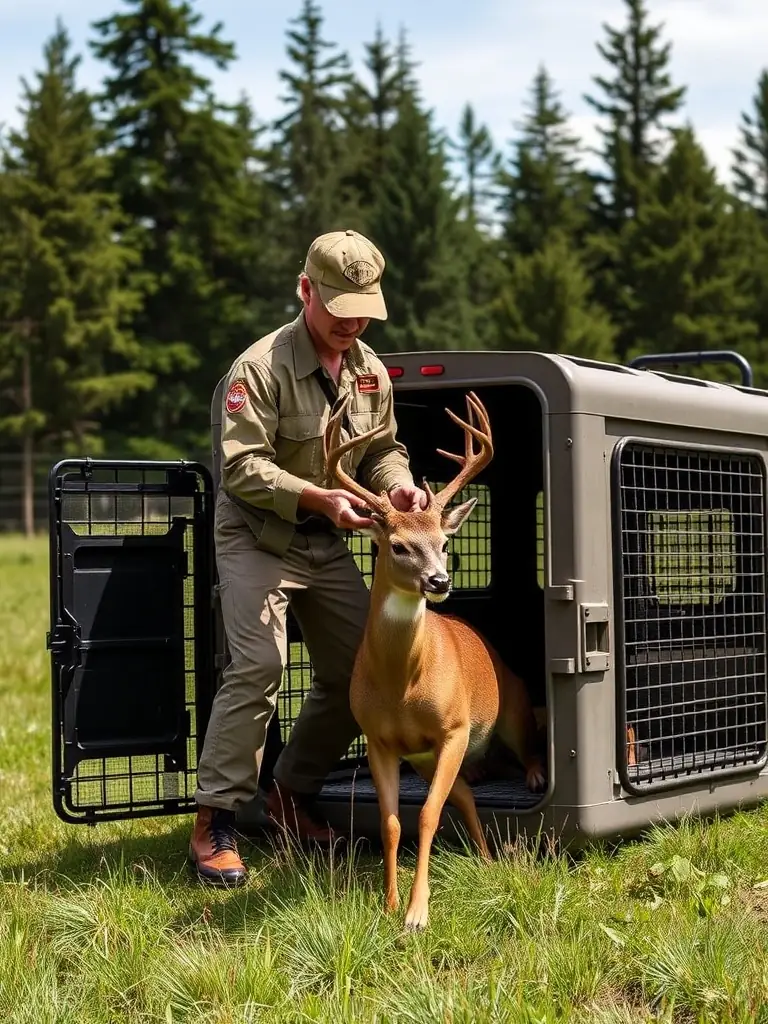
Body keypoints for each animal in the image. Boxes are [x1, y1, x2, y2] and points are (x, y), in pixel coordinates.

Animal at [323, 389, 546, 931]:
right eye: (398, 546)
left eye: (445, 543)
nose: (440, 581)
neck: (403, 684)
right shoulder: (381, 741)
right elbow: (391, 821)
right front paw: (388, 905)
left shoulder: (454, 727)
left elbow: (426, 814)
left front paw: (417, 913)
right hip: (426, 758)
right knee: (464, 792)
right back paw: (486, 858)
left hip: (509, 713)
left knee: (522, 753)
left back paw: (531, 781)